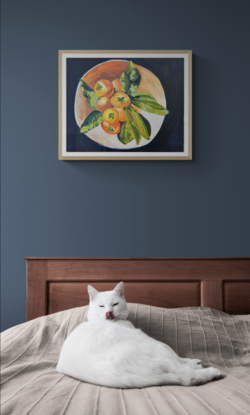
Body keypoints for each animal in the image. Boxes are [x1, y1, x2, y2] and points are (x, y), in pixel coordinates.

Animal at [56, 284, 225, 388]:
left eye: (115, 304)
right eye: (101, 306)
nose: (109, 312)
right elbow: (179, 359)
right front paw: (192, 362)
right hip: (156, 345)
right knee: (184, 374)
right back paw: (210, 371)